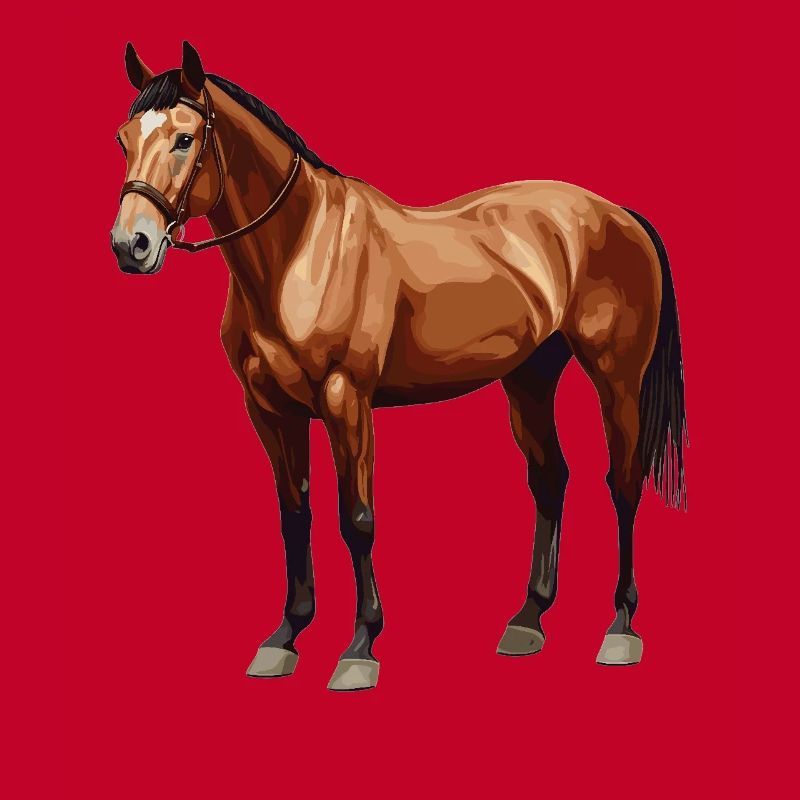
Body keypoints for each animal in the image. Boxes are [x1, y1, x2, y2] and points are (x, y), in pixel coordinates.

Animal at [111, 42, 687, 691]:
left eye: (185, 139)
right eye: (124, 139)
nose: (131, 245)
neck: (300, 251)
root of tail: (618, 213)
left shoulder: (347, 400)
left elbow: (357, 519)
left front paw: (360, 647)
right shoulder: (270, 411)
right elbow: (294, 516)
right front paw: (285, 637)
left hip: (618, 381)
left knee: (623, 483)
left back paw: (620, 628)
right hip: (529, 379)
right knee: (550, 478)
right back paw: (528, 621)